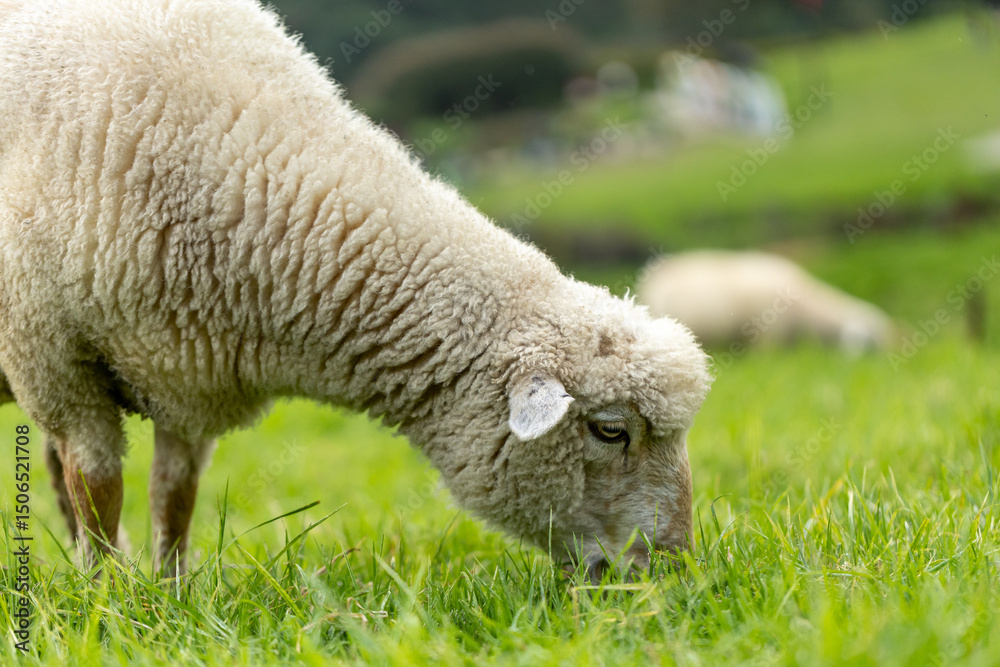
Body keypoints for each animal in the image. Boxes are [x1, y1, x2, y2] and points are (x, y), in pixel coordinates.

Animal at [0, 0, 711, 579]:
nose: (668, 569)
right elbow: (99, 491)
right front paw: (109, 600)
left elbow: (172, 501)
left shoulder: (185, 374)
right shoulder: (54, 365)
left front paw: (171, 593)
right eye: (611, 431)